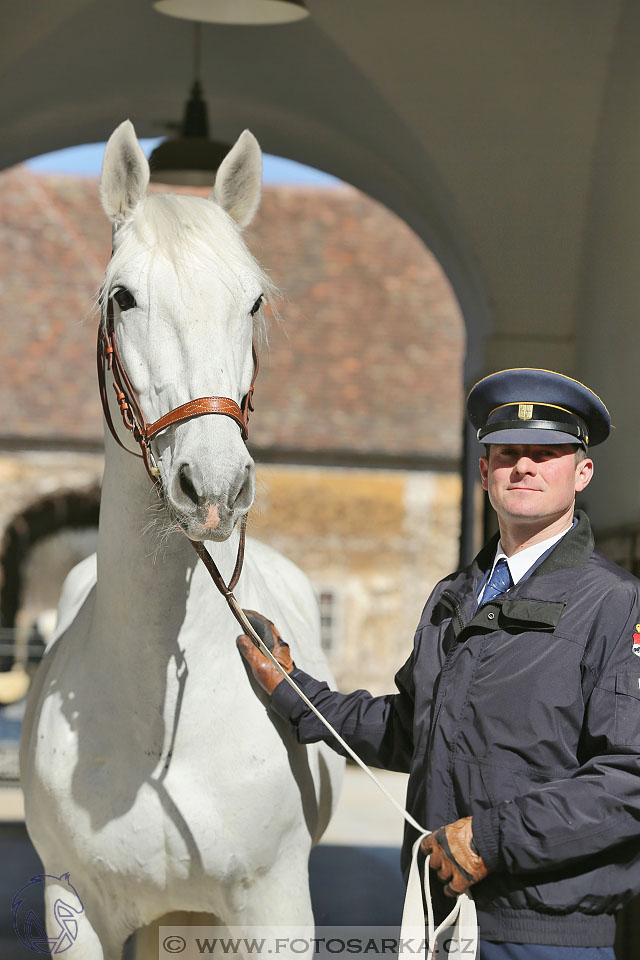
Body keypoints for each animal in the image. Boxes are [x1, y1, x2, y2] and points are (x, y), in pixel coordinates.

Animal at [21, 122, 344, 960]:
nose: (217, 486)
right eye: (122, 296)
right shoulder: (74, 907)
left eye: (253, 300)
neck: (160, 735)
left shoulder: (274, 909)